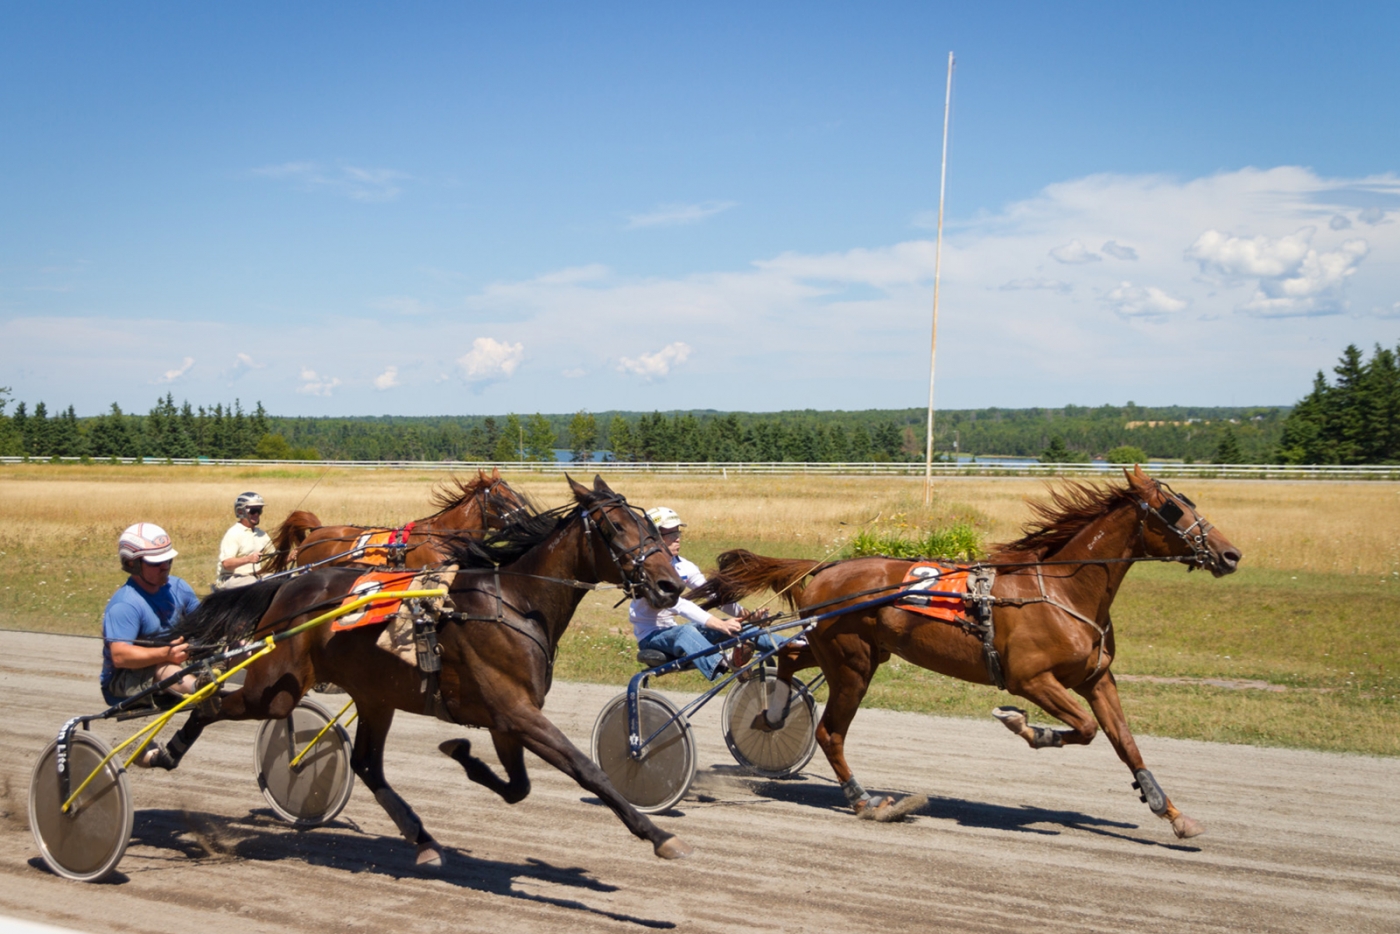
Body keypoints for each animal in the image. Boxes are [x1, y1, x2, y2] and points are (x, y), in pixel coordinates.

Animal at [697, 467, 1237, 840]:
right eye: (1174, 509)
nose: (1231, 554)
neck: (1062, 592)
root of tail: (825, 568)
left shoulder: (1096, 678)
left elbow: (1124, 742)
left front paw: (1171, 812)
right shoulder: (1030, 678)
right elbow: (1081, 728)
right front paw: (1023, 725)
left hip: (852, 651)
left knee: (790, 660)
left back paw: (772, 711)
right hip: (852, 664)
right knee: (831, 732)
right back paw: (866, 801)